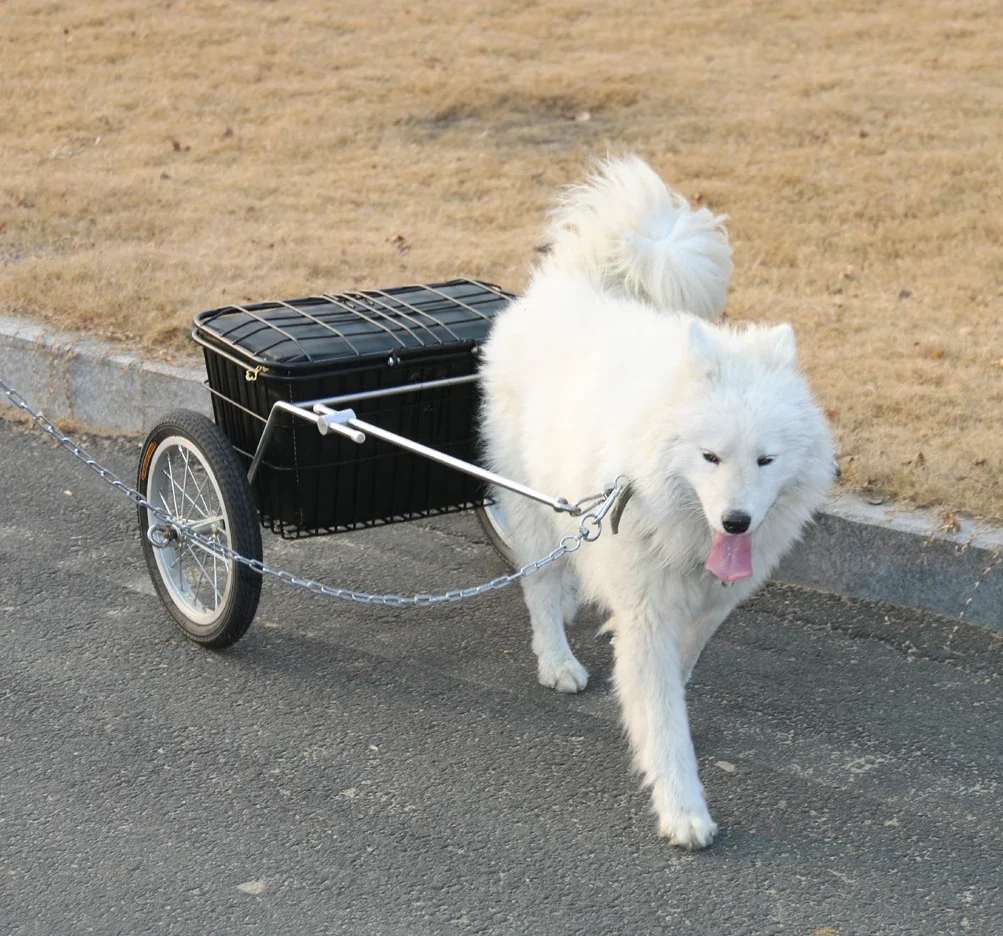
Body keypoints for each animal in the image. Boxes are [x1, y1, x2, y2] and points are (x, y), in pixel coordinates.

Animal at [481, 158, 834, 846]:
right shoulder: (647, 609)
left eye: (766, 460)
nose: (736, 521)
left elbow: (687, 655)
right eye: (711, 457)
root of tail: (572, 280)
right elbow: (665, 722)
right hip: (533, 502)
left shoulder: (713, 600)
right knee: (538, 585)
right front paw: (683, 809)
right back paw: (557, 660)